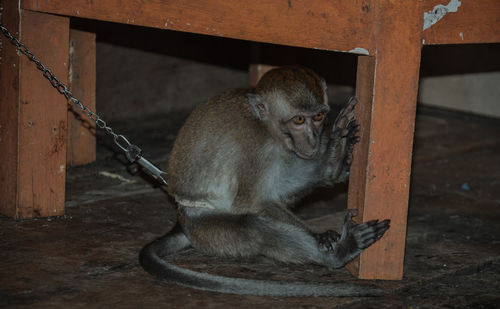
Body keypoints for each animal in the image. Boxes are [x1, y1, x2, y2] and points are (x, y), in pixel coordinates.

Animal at [141, 65, 390, 296]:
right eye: (299, 120)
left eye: (318, 117)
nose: (312, 139)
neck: (264, 125)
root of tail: (181, 219)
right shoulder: (256, 148)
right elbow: (252, 203)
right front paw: (319, 236)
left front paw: (335, 154)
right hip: (204, 228)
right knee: (254, 227)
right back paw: (340, 252)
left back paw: (333, 164)